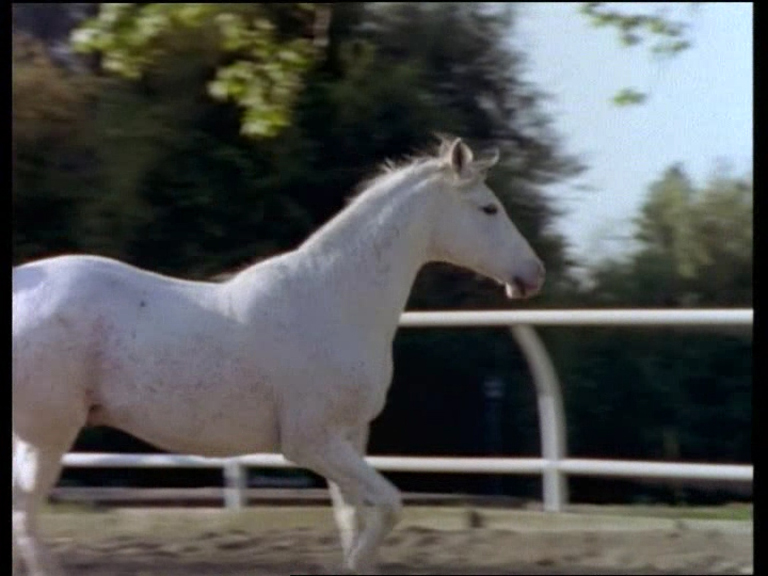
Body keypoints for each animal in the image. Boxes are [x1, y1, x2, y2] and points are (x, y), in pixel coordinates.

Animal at [12, 137, 545, 575]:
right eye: (489, 209)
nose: (533, 274)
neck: (335, 300)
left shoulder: (347, 439)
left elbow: (354, 519)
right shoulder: (310, 442)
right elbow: (389, 506)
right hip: (47, 435)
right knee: (25, 518)